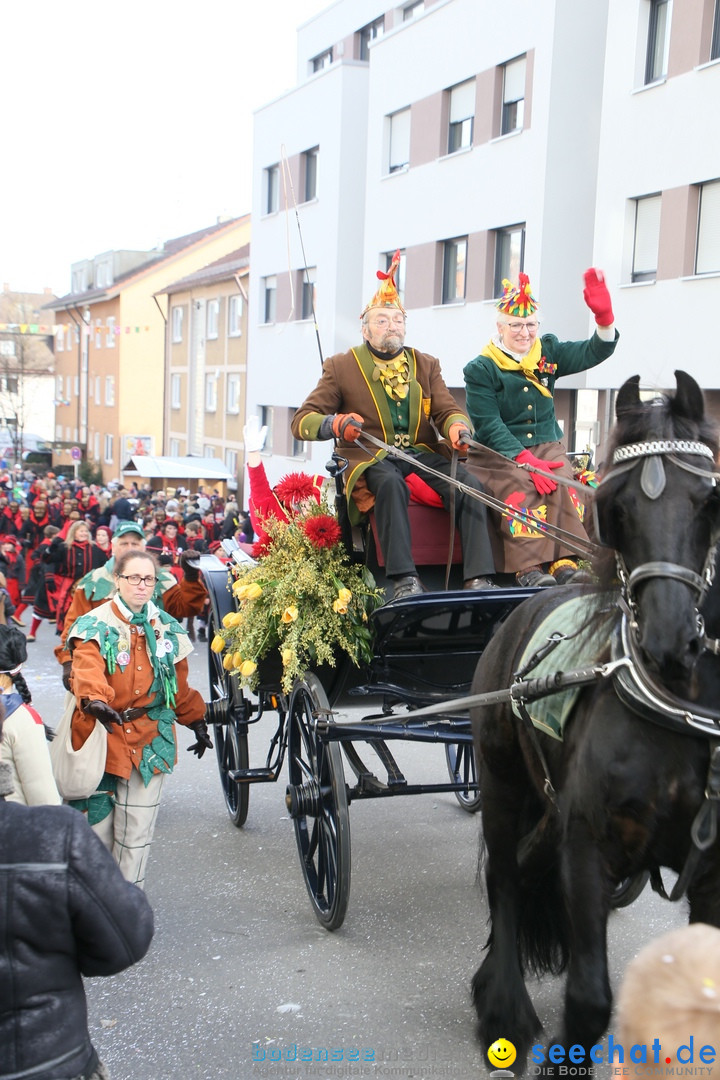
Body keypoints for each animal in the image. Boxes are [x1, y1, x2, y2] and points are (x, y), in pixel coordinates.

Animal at [470, 371, 720, 1071]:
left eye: (708, 499)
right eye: (618, 506)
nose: (669, 639)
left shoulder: (712, 875)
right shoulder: (586, 846)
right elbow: (588, 1002)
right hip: (501, 787)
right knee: (504, 879)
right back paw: (503, 1008)